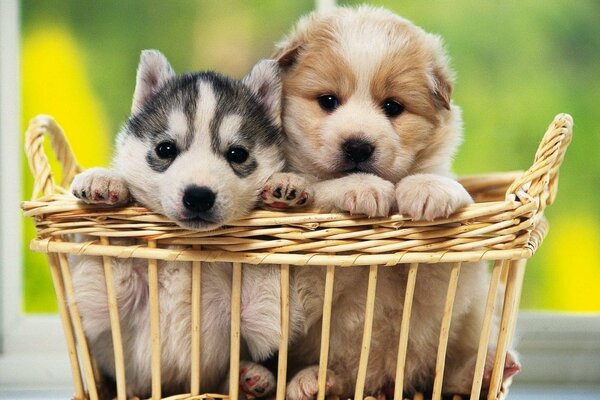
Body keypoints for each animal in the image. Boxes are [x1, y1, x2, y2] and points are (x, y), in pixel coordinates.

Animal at [70, 51, 304, 398]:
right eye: (165, 149)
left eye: (237, 154)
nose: (198, 196)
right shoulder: (104, 312)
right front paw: (106, 181)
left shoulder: (260, 317)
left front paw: (285, 183)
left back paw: (250, 379)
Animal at [264, 6, 520, 400]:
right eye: (328, 101)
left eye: (393, 107)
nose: (357, 146)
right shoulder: (307, 290)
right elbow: (324, 184)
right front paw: (340, 187)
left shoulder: (440, 284)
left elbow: (439, 183)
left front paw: (428, 190)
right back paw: (312, 381)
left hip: (470, 323)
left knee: (450, 371)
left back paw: (489, 367)